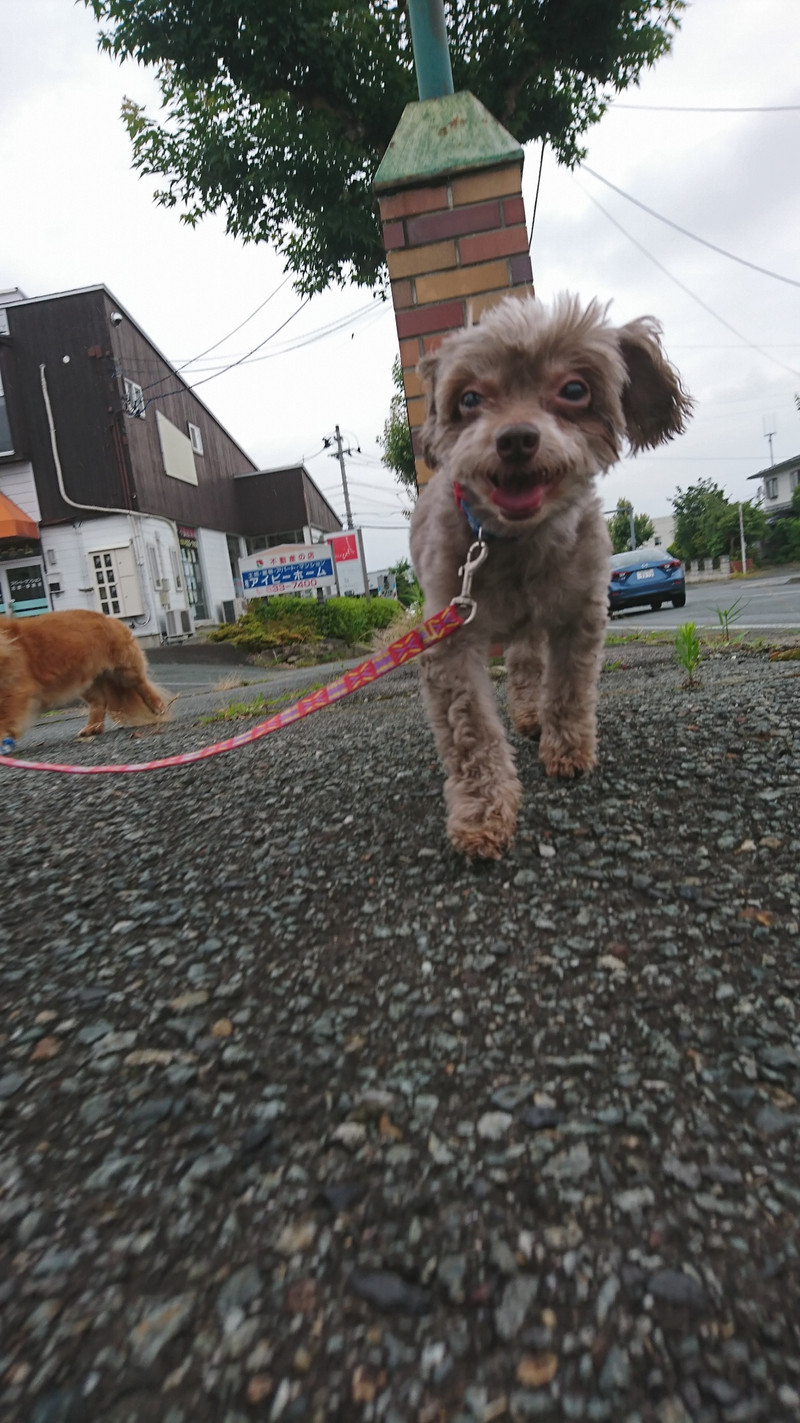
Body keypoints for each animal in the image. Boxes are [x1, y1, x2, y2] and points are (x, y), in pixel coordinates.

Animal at [0, 609, 167, 752]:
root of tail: (107, 617)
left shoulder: (14, 690)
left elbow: (5, 716)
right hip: (86, 683)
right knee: (99, 702)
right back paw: (93, 727)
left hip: (124, 671)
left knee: (142, 684)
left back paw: (157, 706)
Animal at [409, 293, 692, 859]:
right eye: (469, 398)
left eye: (575, 390)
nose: (516, 438)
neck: (516, 541)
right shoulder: (450, 633)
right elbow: (471, 729)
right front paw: (482, 814)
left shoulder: (579, 610)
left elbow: (568, 685)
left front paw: (568, 751)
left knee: (526, 663)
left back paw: (533, 716)